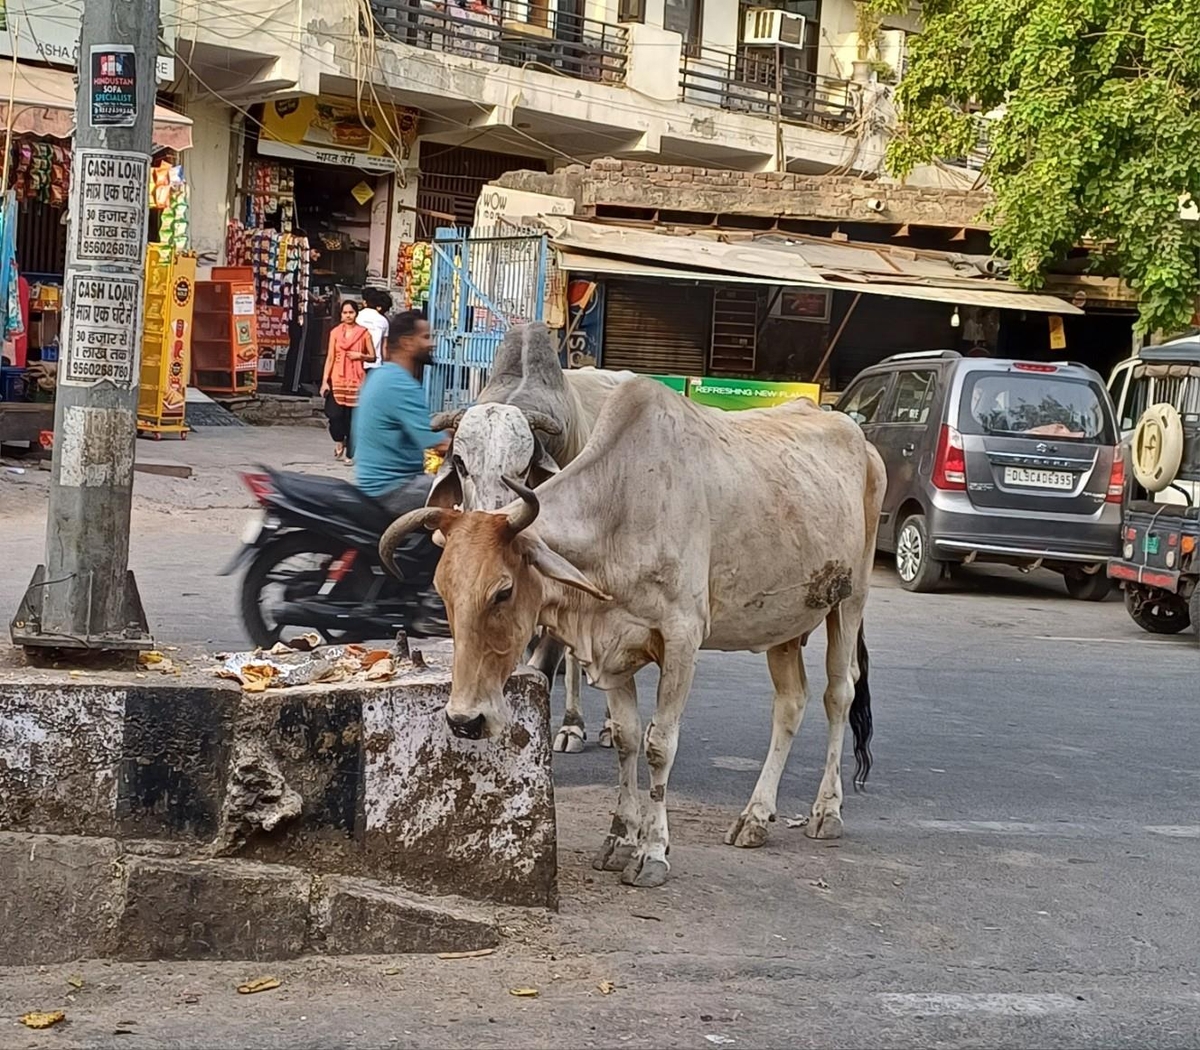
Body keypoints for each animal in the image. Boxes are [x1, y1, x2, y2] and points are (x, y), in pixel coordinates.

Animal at [379, 376, 888, 888]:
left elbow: (659, 745)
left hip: (850, 602)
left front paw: (653, 853)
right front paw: (620, 839)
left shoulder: (683, 639)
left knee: (838, 695)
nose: (465, 720)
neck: (622, 506)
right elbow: (626, 738)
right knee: (790, 703)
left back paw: (826, 811)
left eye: (503, 591)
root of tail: (858, 437)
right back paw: (755, 816)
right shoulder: (613, 647)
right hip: (783, 622)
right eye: (444, 591)